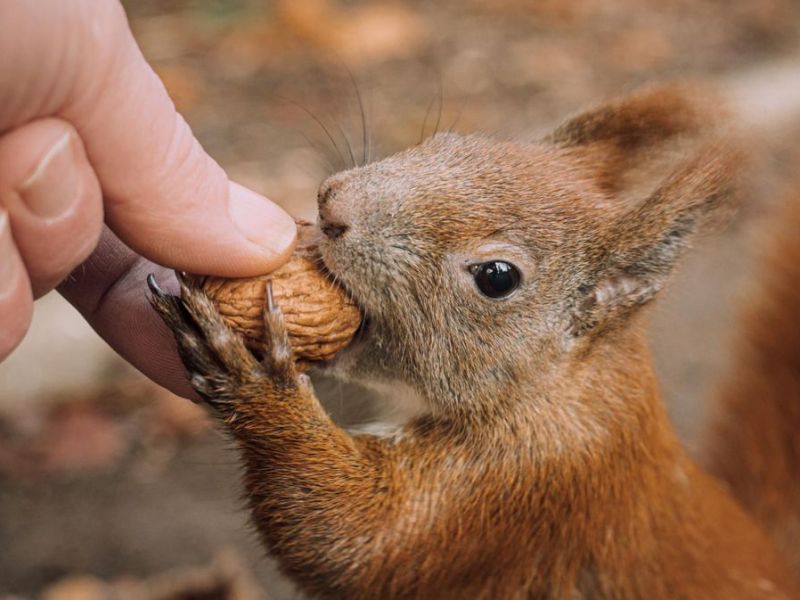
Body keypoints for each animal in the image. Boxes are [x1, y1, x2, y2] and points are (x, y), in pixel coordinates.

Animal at [148, 84, 800, 600]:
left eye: (497, 278)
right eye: (448, 140)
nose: (331, 205)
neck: (561, 389)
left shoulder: (527, 483)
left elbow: (351, 539)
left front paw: (258, 388)